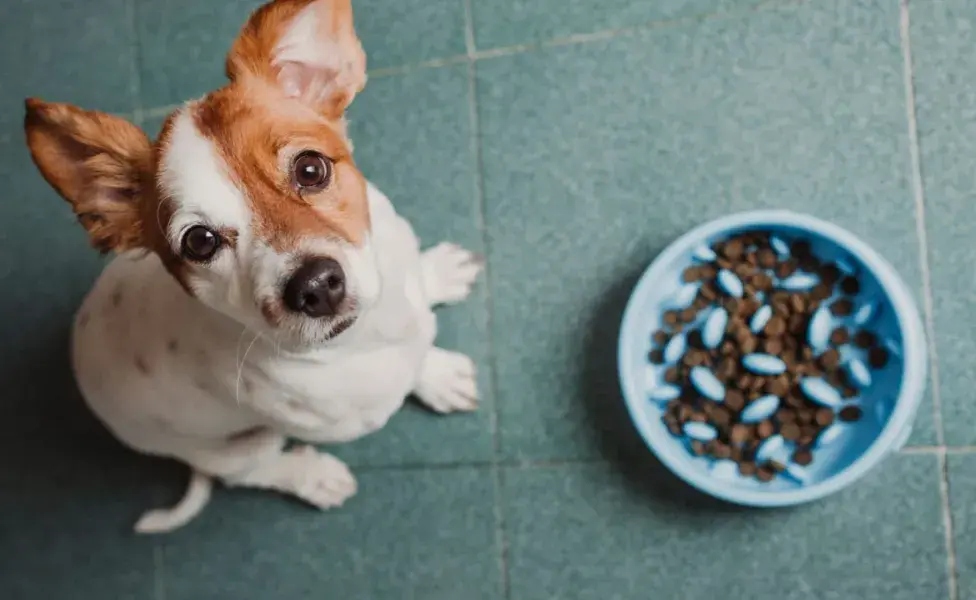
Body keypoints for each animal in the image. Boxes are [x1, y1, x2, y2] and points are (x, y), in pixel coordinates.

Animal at [21, 0, 480, 536]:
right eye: (199, 242)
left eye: (310, 168)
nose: (315, 286)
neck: (363, 336)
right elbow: (409, 369)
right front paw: (436, 376)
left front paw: (436, 289)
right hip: (238, 446)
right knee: (249, 473)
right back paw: (312, 477)